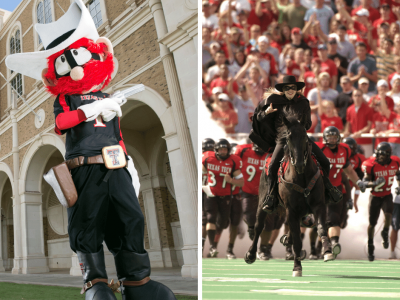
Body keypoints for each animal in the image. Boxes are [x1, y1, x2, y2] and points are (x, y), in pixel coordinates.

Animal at [245, 110, 336, 276]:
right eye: (288, 137)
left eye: (305, 136)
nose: (299, 164)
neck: (302, 177)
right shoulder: (291, 210)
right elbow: (297, 240)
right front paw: (297, 268)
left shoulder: (319, 205)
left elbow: (321, 227)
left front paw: (327, 251)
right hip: (262, 204)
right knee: (259, 226)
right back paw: (251, 254)